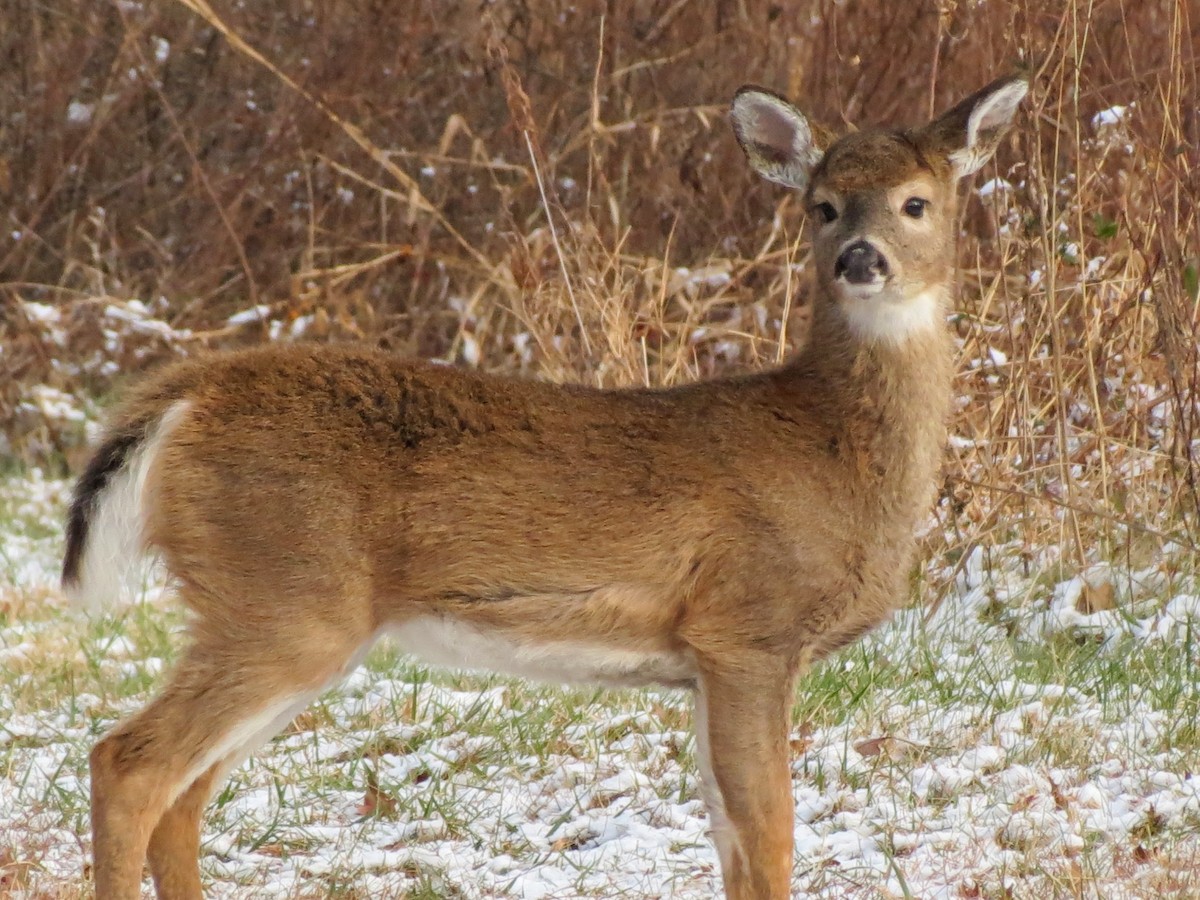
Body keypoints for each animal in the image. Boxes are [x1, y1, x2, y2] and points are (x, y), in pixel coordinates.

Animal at [62, 73, 1026, 900]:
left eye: (916, 202)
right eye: (821, 207)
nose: (860, 258)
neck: (831, 455)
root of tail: (186, 396)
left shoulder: (707, 663)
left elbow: (731, 840)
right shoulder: (747, 627)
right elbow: (771, 836)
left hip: (284, 615)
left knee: (183, 794)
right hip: (281, 598)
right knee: (128, 763)